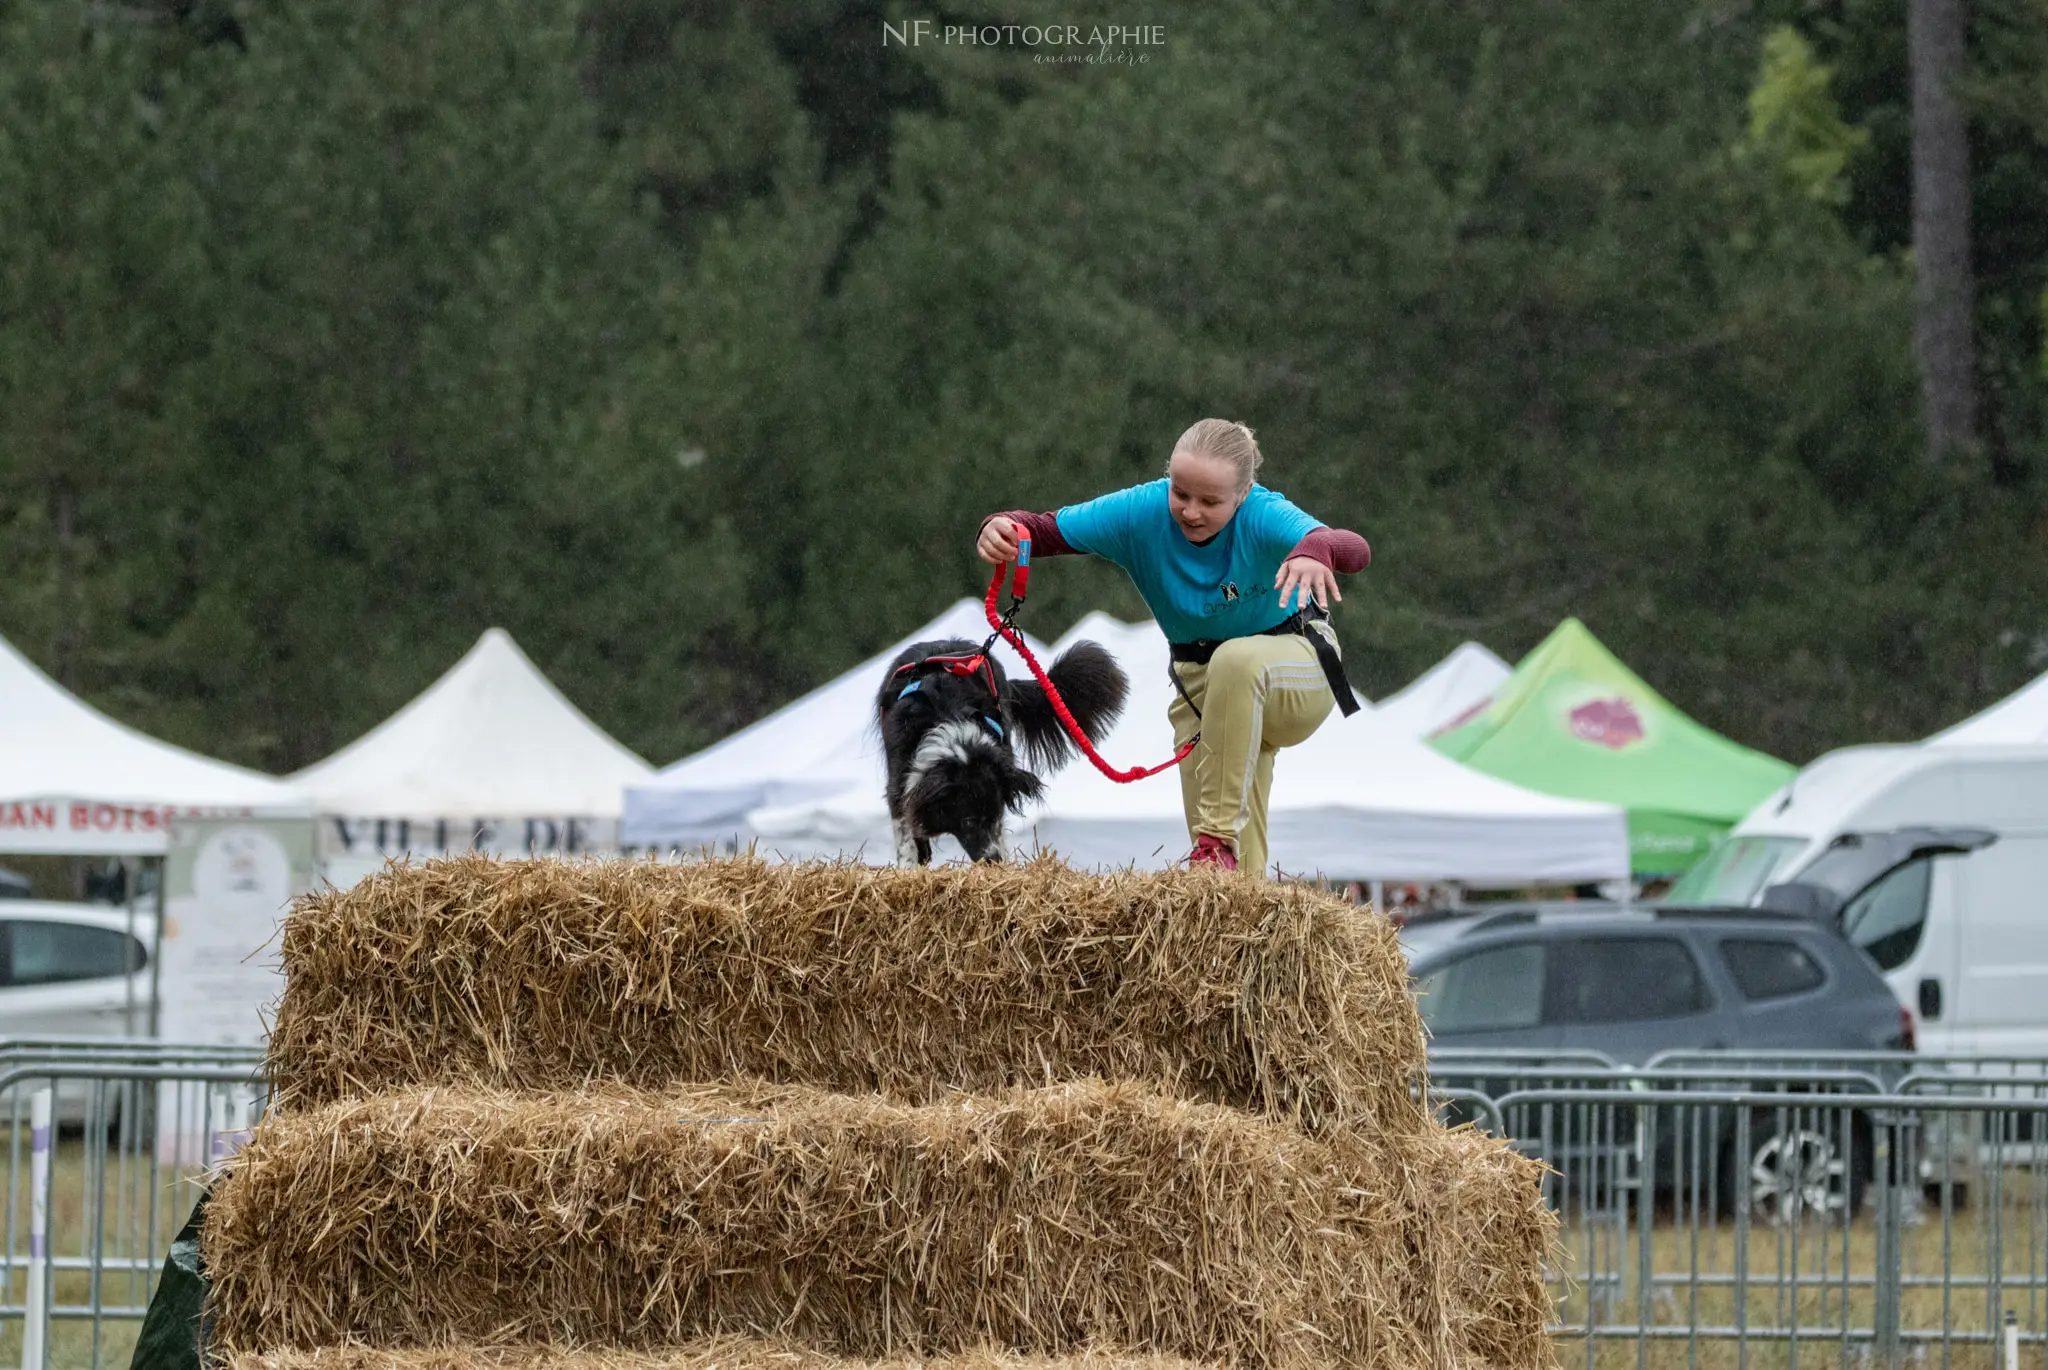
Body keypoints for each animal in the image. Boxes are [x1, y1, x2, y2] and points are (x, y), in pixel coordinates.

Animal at [872, 634, 1130, 860]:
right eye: (968, 821)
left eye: (995, 815)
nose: (993, 860)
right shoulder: (901, 779)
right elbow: (906, 832)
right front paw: (910, 864)